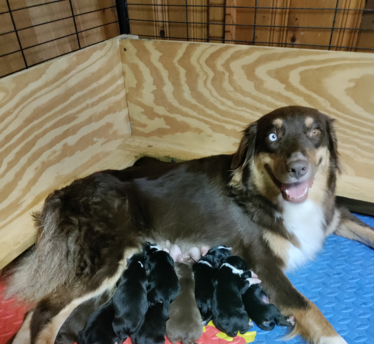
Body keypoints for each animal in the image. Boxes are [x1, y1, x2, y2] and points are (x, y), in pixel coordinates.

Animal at [6, 105, 374, 344]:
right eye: (272, 135)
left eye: (315, 132)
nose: (298, 168)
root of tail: (64, 192)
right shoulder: (264, 264)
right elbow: (310, 309)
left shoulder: (334, 216)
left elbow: (367, 229)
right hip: (109, 258)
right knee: (44, 313)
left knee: (32, 312)